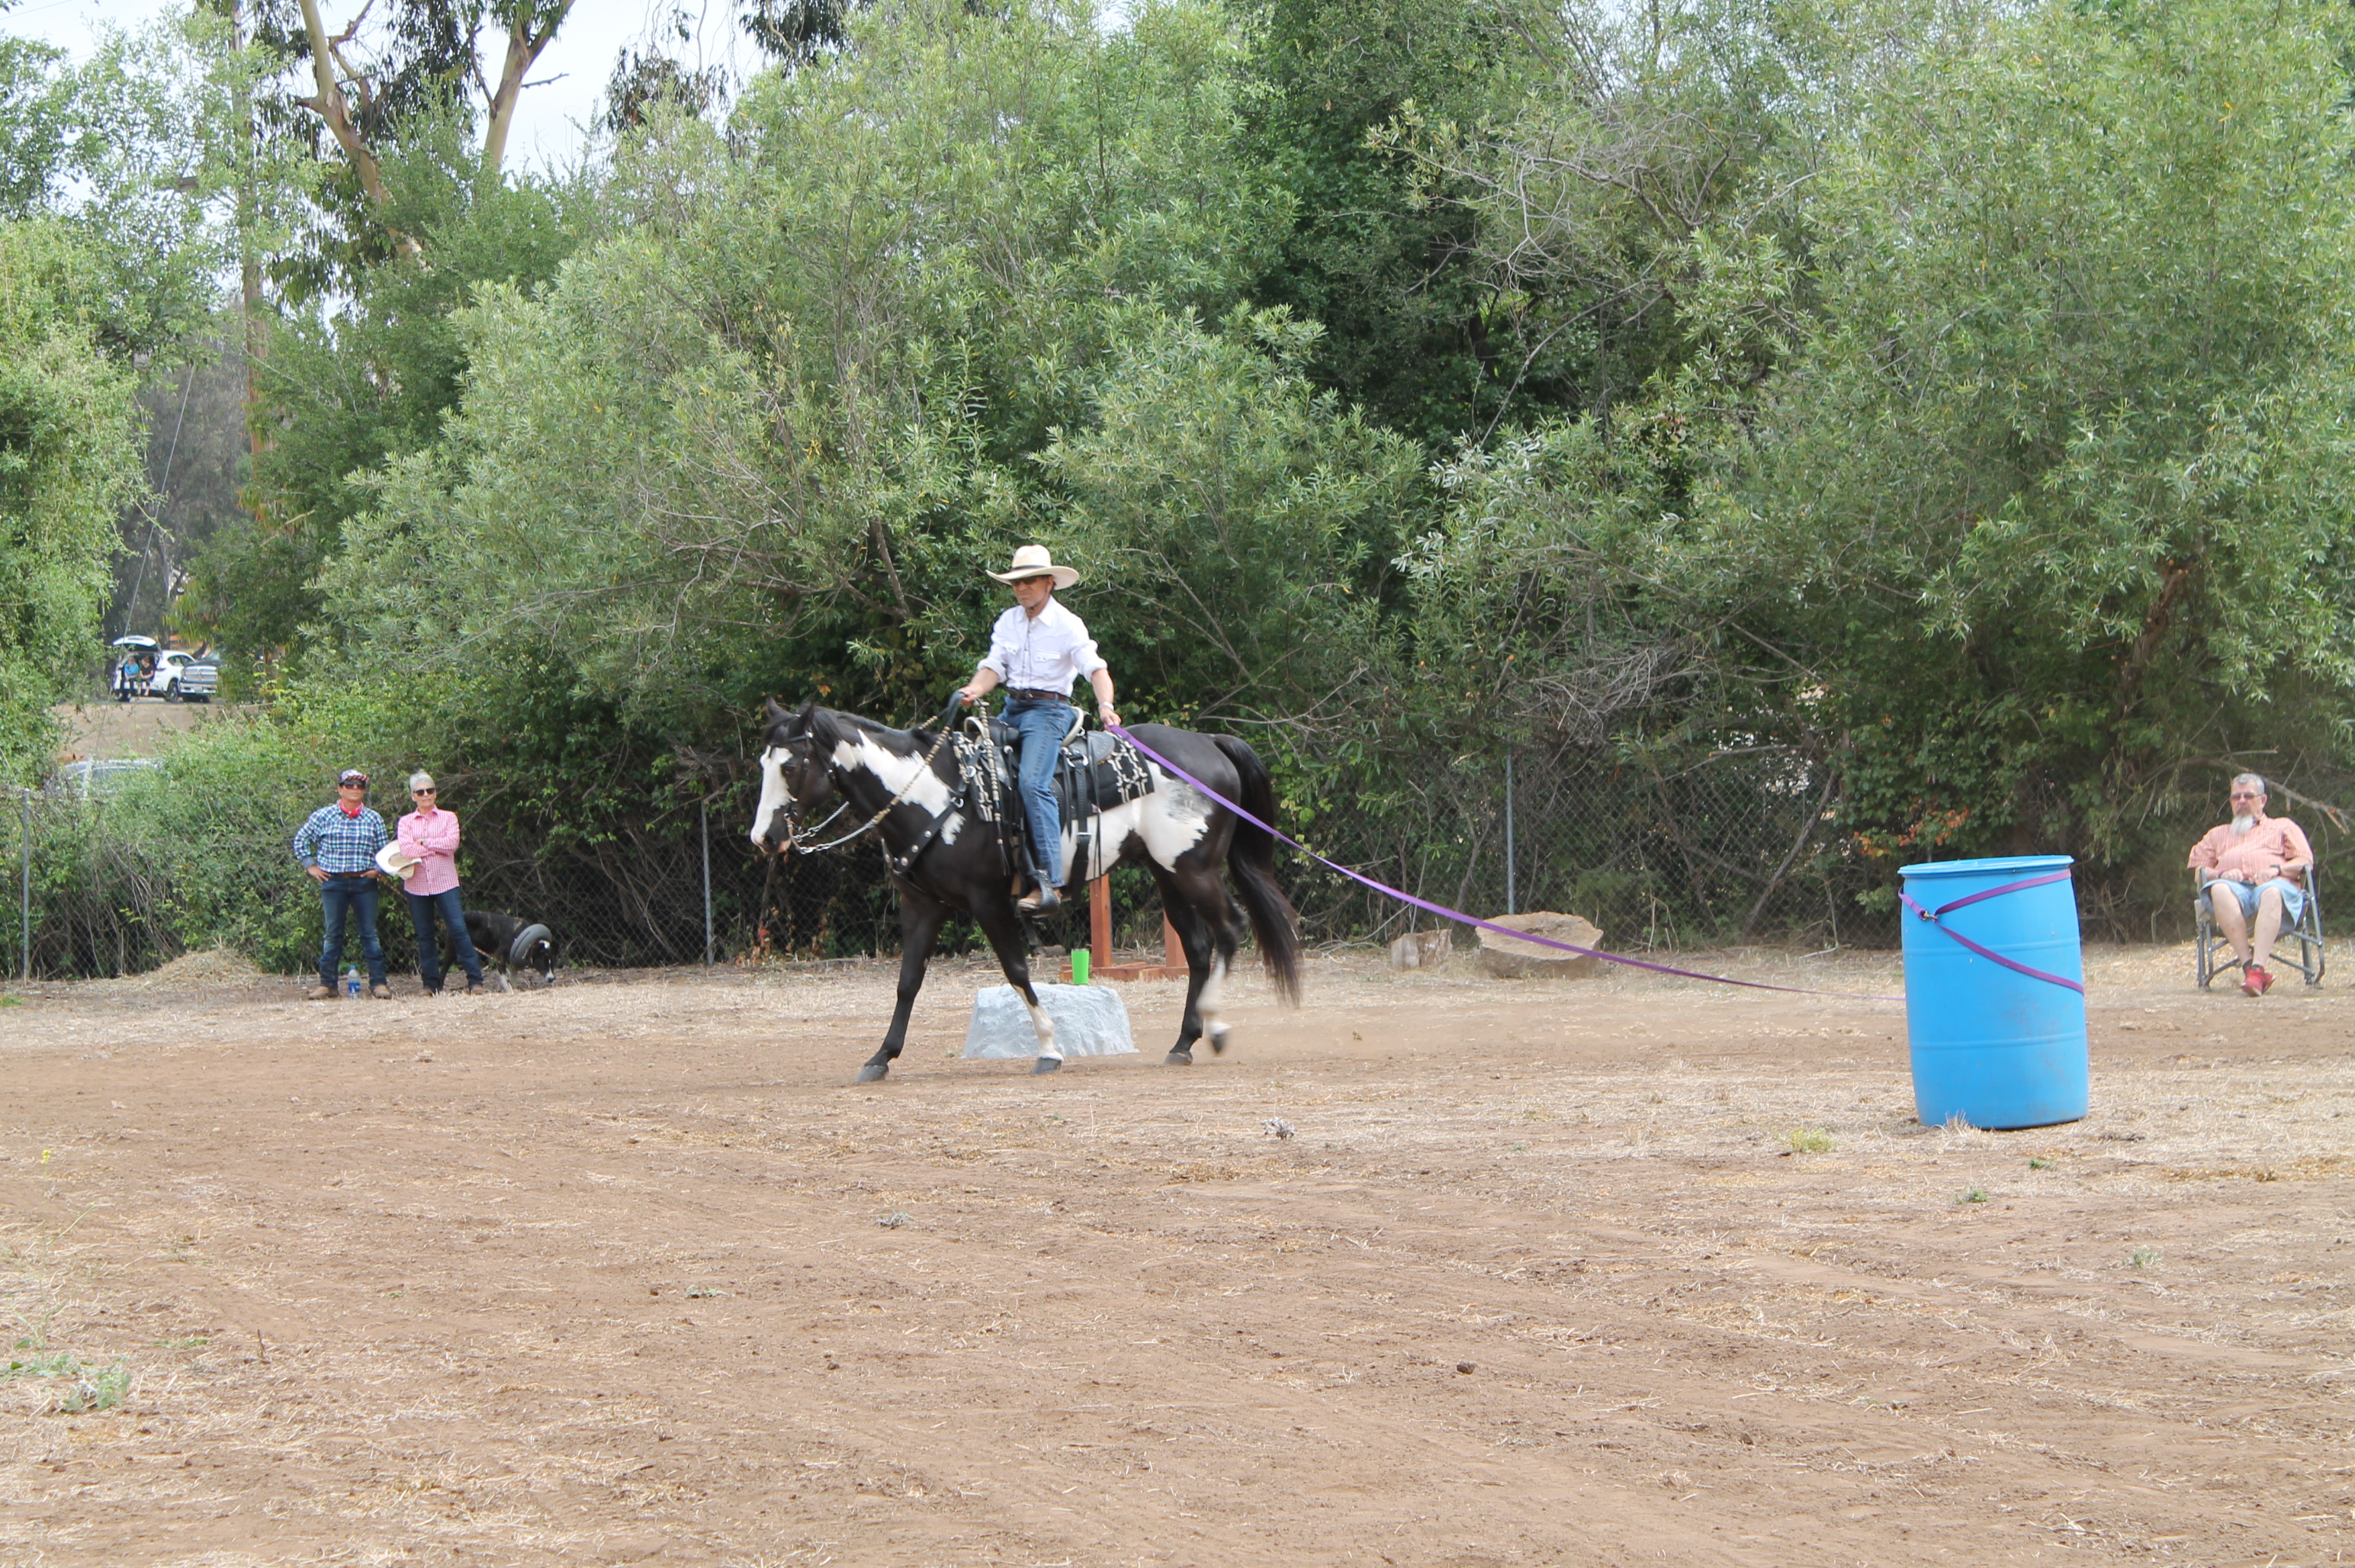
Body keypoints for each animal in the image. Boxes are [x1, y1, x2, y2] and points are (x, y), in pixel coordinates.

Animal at [442, 908, 555, 984]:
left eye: (552, 965)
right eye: (544, 963)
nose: (552, 979)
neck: (520, 934)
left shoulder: (511, 963)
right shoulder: (499, 957)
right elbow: (505, 982)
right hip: (452, 950)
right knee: (444, 970)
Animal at [753, 696, 1309, 1073]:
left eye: (792, 764)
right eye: (764, 763)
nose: (766, 837)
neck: (934, 795)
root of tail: (1209, 744)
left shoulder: (988, 900)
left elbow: (1017, 970)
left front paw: (1048, 1047)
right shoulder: (922, 905)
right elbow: (908, 980)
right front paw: (881, 1056)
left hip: (1195, 871)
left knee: (1232, 931)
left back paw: (1215, 1028)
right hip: (1167, 872)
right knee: (1196, 947)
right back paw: (1183, 1043)